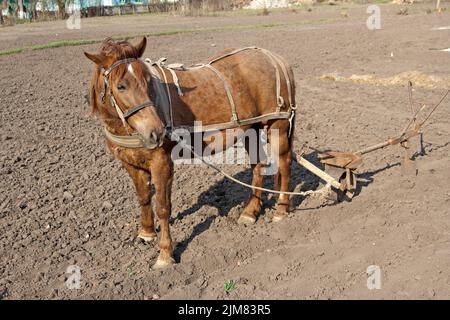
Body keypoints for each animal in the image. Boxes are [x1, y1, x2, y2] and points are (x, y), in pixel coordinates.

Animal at [85, 37, 296, 268]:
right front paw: (146, 233)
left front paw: (165, 254)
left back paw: (281, 209)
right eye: (121, 86)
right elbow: (143, 198)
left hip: (277, 126)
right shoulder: (130, 163)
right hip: (252, 128)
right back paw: (250, 212)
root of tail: (275, 58)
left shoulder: (161, 162)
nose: (156, 131)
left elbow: (162, 207)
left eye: (148, 82)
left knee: (284, 163)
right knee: (258, 165)